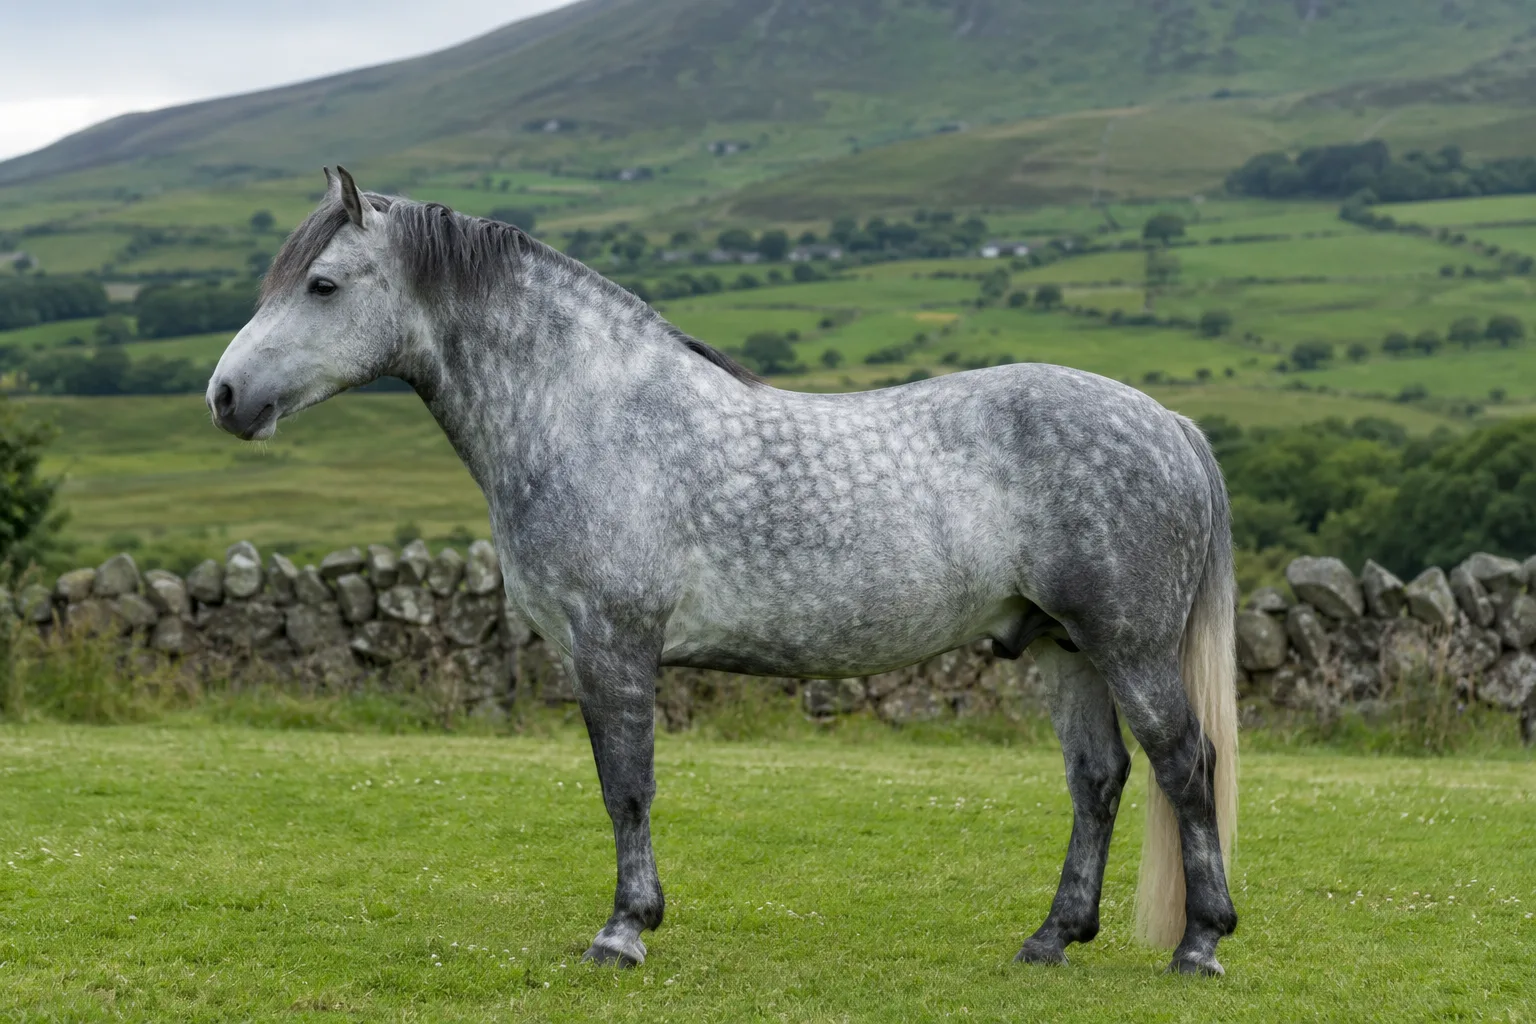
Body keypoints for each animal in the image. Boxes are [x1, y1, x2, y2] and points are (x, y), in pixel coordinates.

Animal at [207, 167, 1240, 975]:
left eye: (324, 285)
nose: (224, 395)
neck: (591, 414)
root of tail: (1171, 424)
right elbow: (617, 784)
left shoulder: (613, 644)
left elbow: (626, 786)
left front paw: (624, 931)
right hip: (1065, 648)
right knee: (1099, 780)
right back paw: (1051, 939)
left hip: (1129, 647)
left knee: (1186, 766)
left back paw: (1201, 944)